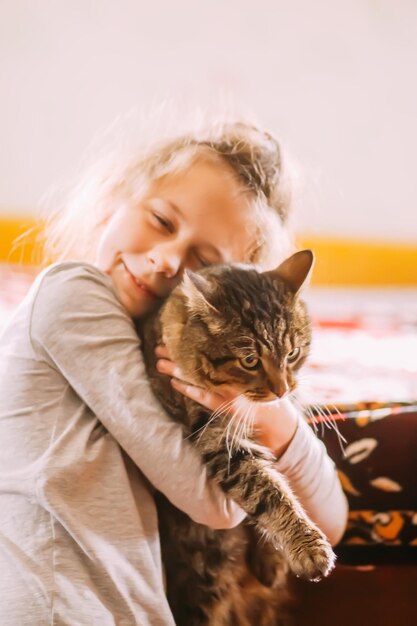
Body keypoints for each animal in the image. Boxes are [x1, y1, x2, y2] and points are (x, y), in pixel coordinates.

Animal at [139, 250, 334, 624]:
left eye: (292, 354)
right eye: (250, 360)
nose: (282, 389)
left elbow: (280, 484)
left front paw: (273, 559)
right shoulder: (221, 443)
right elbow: (271, 493)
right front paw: (309, 547)